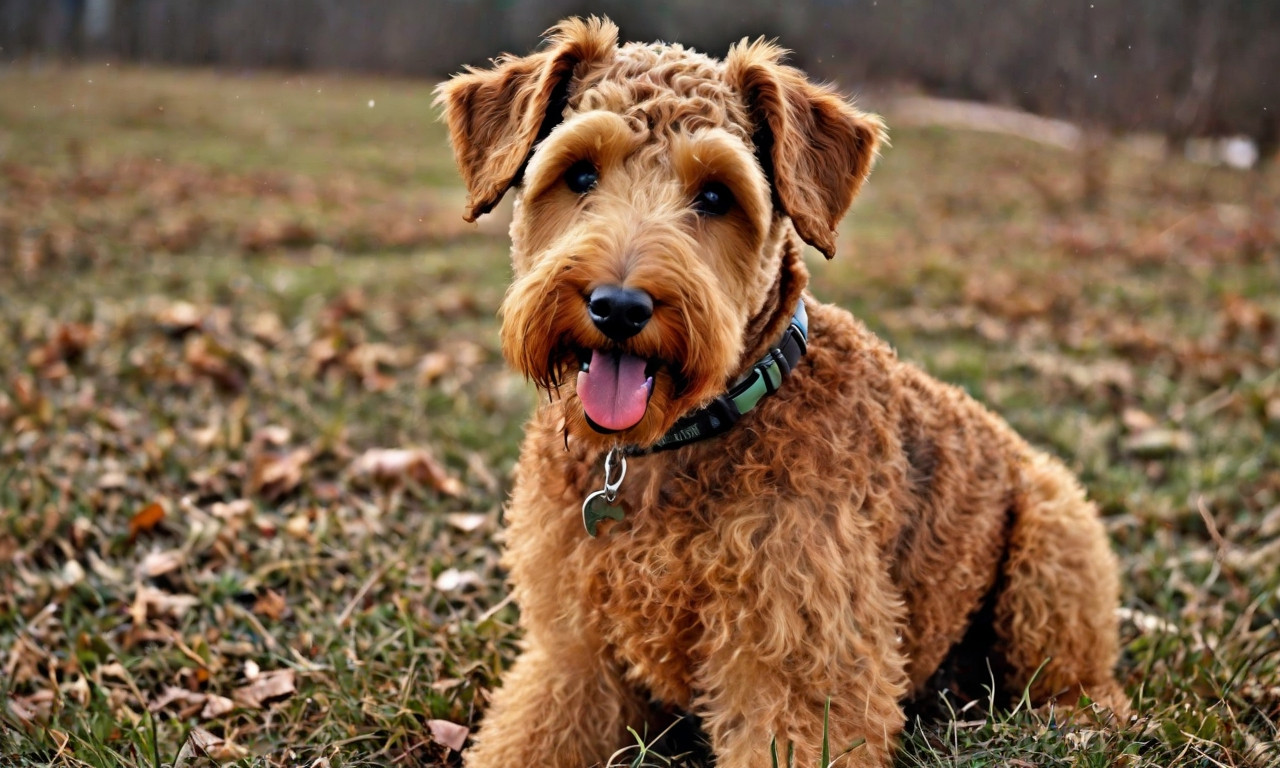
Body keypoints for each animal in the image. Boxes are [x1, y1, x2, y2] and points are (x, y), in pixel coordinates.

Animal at [435, 18, 1126, 768]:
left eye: (716, 195)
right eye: (580, 173)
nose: (617, 307)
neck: (672, 448)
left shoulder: (798, 673)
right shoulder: (573, 653)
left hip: (1054, 536)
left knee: (1080, 679)